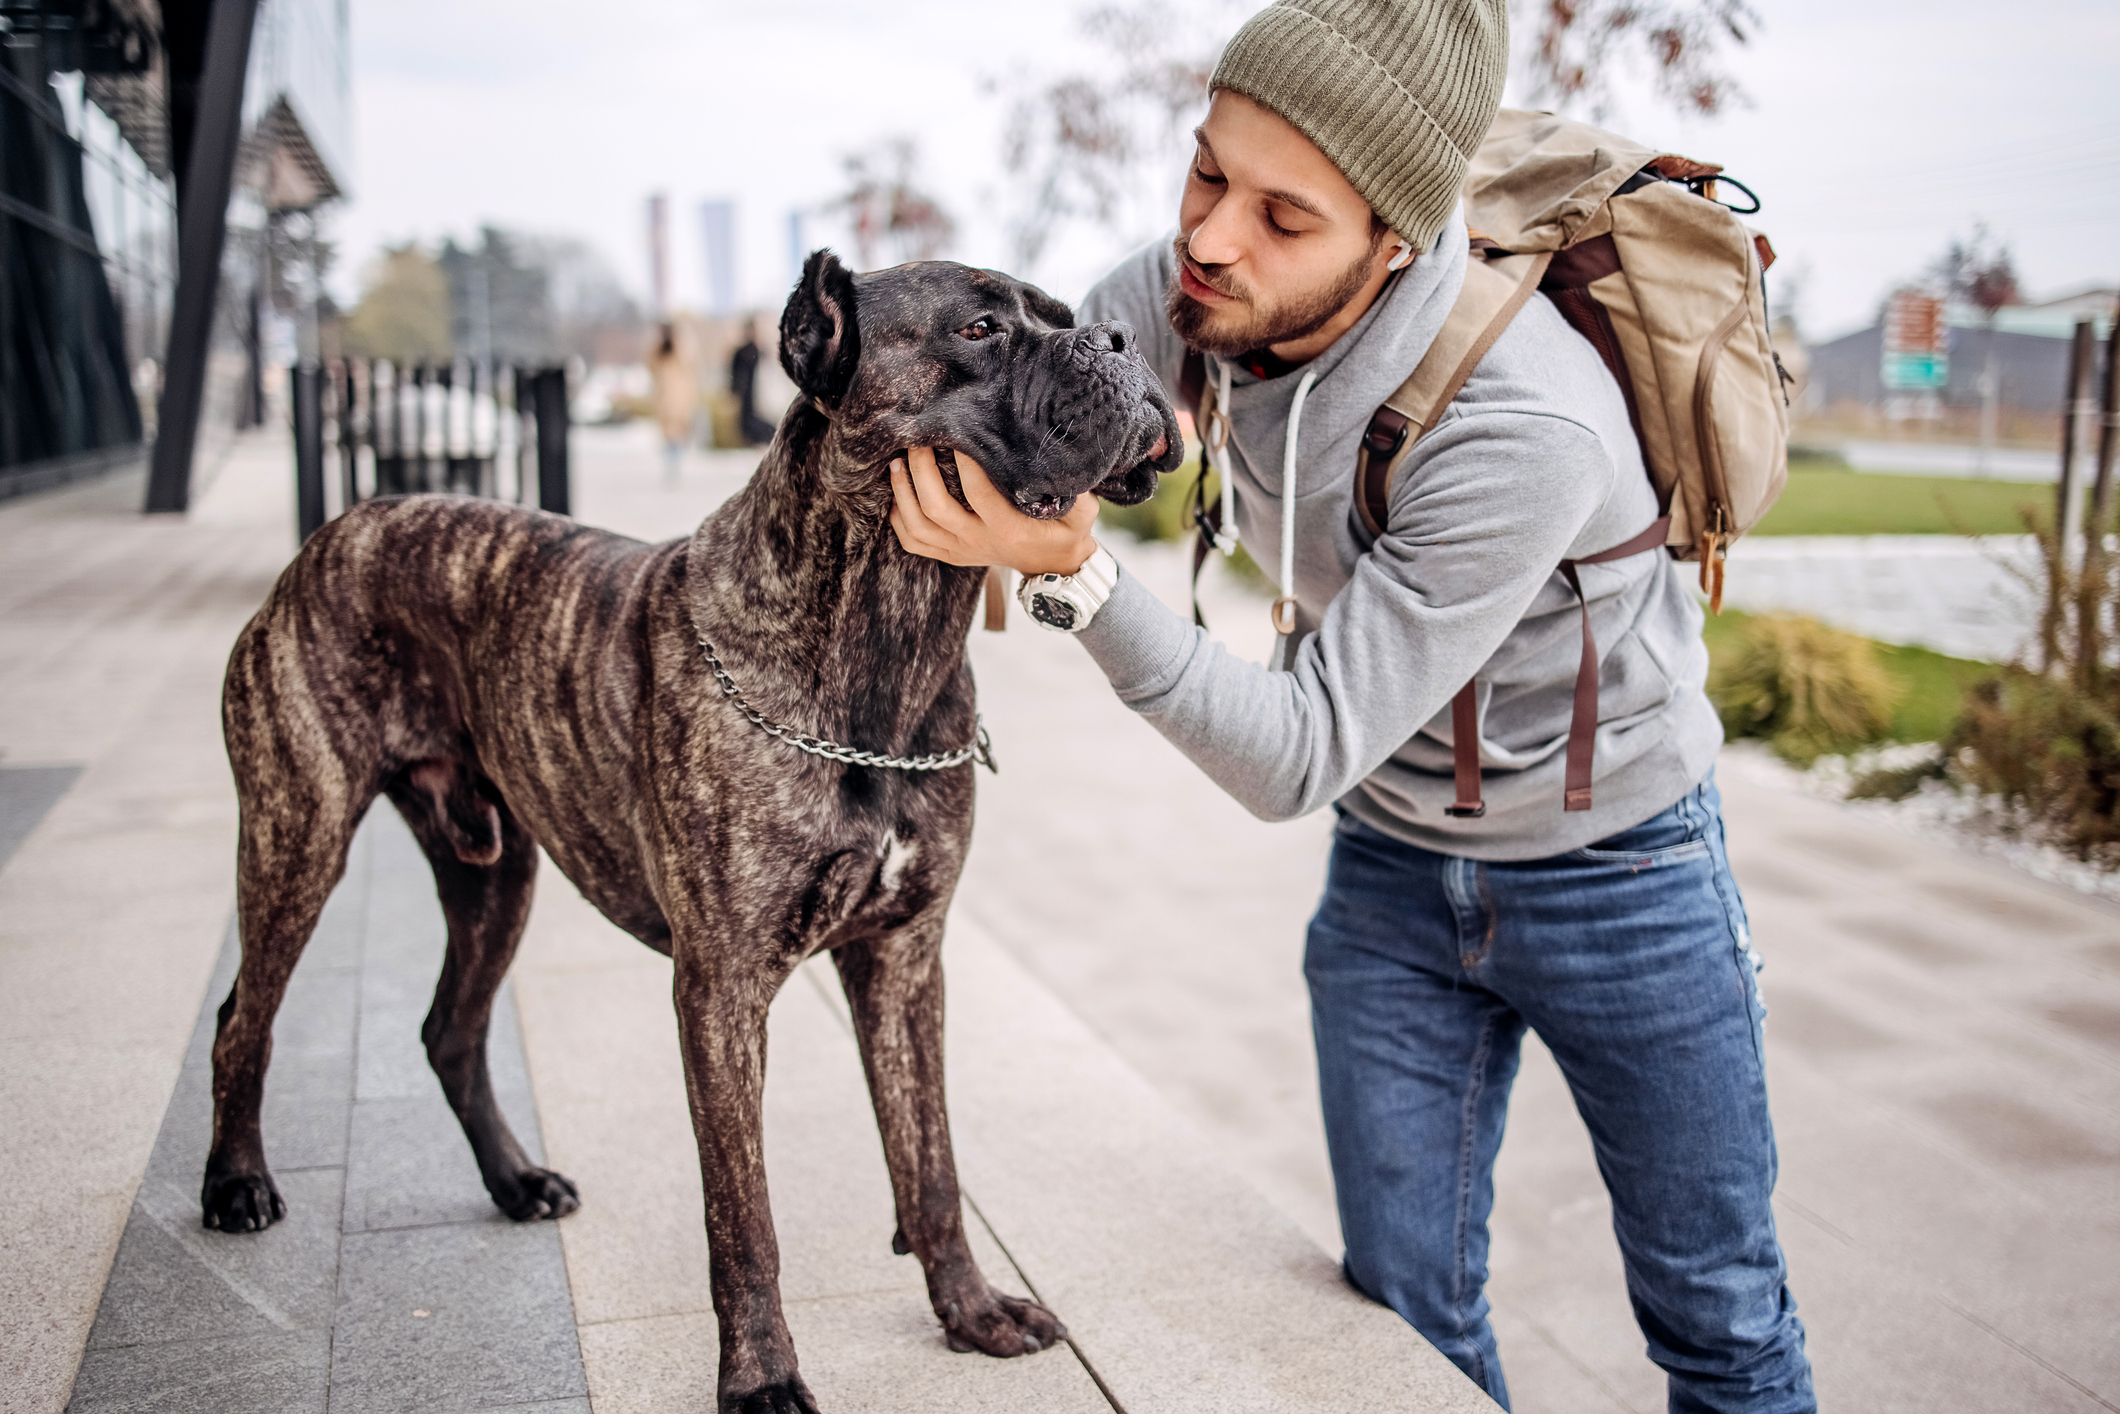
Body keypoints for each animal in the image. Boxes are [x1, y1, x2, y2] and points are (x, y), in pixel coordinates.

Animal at [206, 254, 1187, 1414]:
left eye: (1066, 318)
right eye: (981, 328)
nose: (1121, 343)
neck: (890, 633)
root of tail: (332, 533)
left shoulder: (904, 961)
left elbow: (931, 1162)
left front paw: (970, 1312)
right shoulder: (721, 991)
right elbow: (743, 1214)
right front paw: (761, 1377)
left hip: (493, 874)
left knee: (450, 1029)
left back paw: (515, 1181)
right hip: (298, 835)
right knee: (243, 1018)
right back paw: (237, 1185)